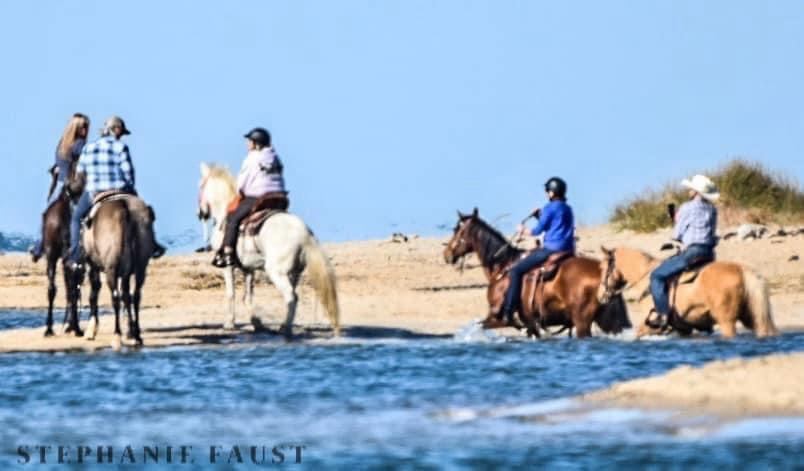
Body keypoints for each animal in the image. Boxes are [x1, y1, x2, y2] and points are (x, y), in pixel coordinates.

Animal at [68, 191, 157, 346]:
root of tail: (124, 207)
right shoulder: (126, 273)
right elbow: (126, 296)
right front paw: (131, 331)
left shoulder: (93, 266)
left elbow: (94, 294)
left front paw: (91, 330)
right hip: (141, 267)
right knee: (135, 295)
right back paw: (137, 336)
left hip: (111, 269)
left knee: (115, 297)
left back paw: (117, 335)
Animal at [197, 163, 340, 338]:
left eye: (200, 185)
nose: (200, 213)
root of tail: (305, 233)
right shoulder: (248, 269)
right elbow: (247, 297)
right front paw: (256, 322)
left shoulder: (227, 266)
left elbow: (231, 293)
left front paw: (229, 323)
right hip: (294, 273)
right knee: (293, 297)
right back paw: (284, 325)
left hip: (276, 271)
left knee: (291, 296)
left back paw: (285, 328)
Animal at [443, 209, 631, 338]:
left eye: (457, 231)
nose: (447, 254)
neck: (502, 266)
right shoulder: (531, 324)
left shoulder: (496, 318)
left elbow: (479, 326)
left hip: (582, 321)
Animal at [598, 246, 778, 338]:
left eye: (603, 268)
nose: (600, 296)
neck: (645, 278)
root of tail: (741, 269)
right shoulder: (683, 328)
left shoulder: (648, 325)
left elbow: (638, 335)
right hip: (752, 318)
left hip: (726, 321)